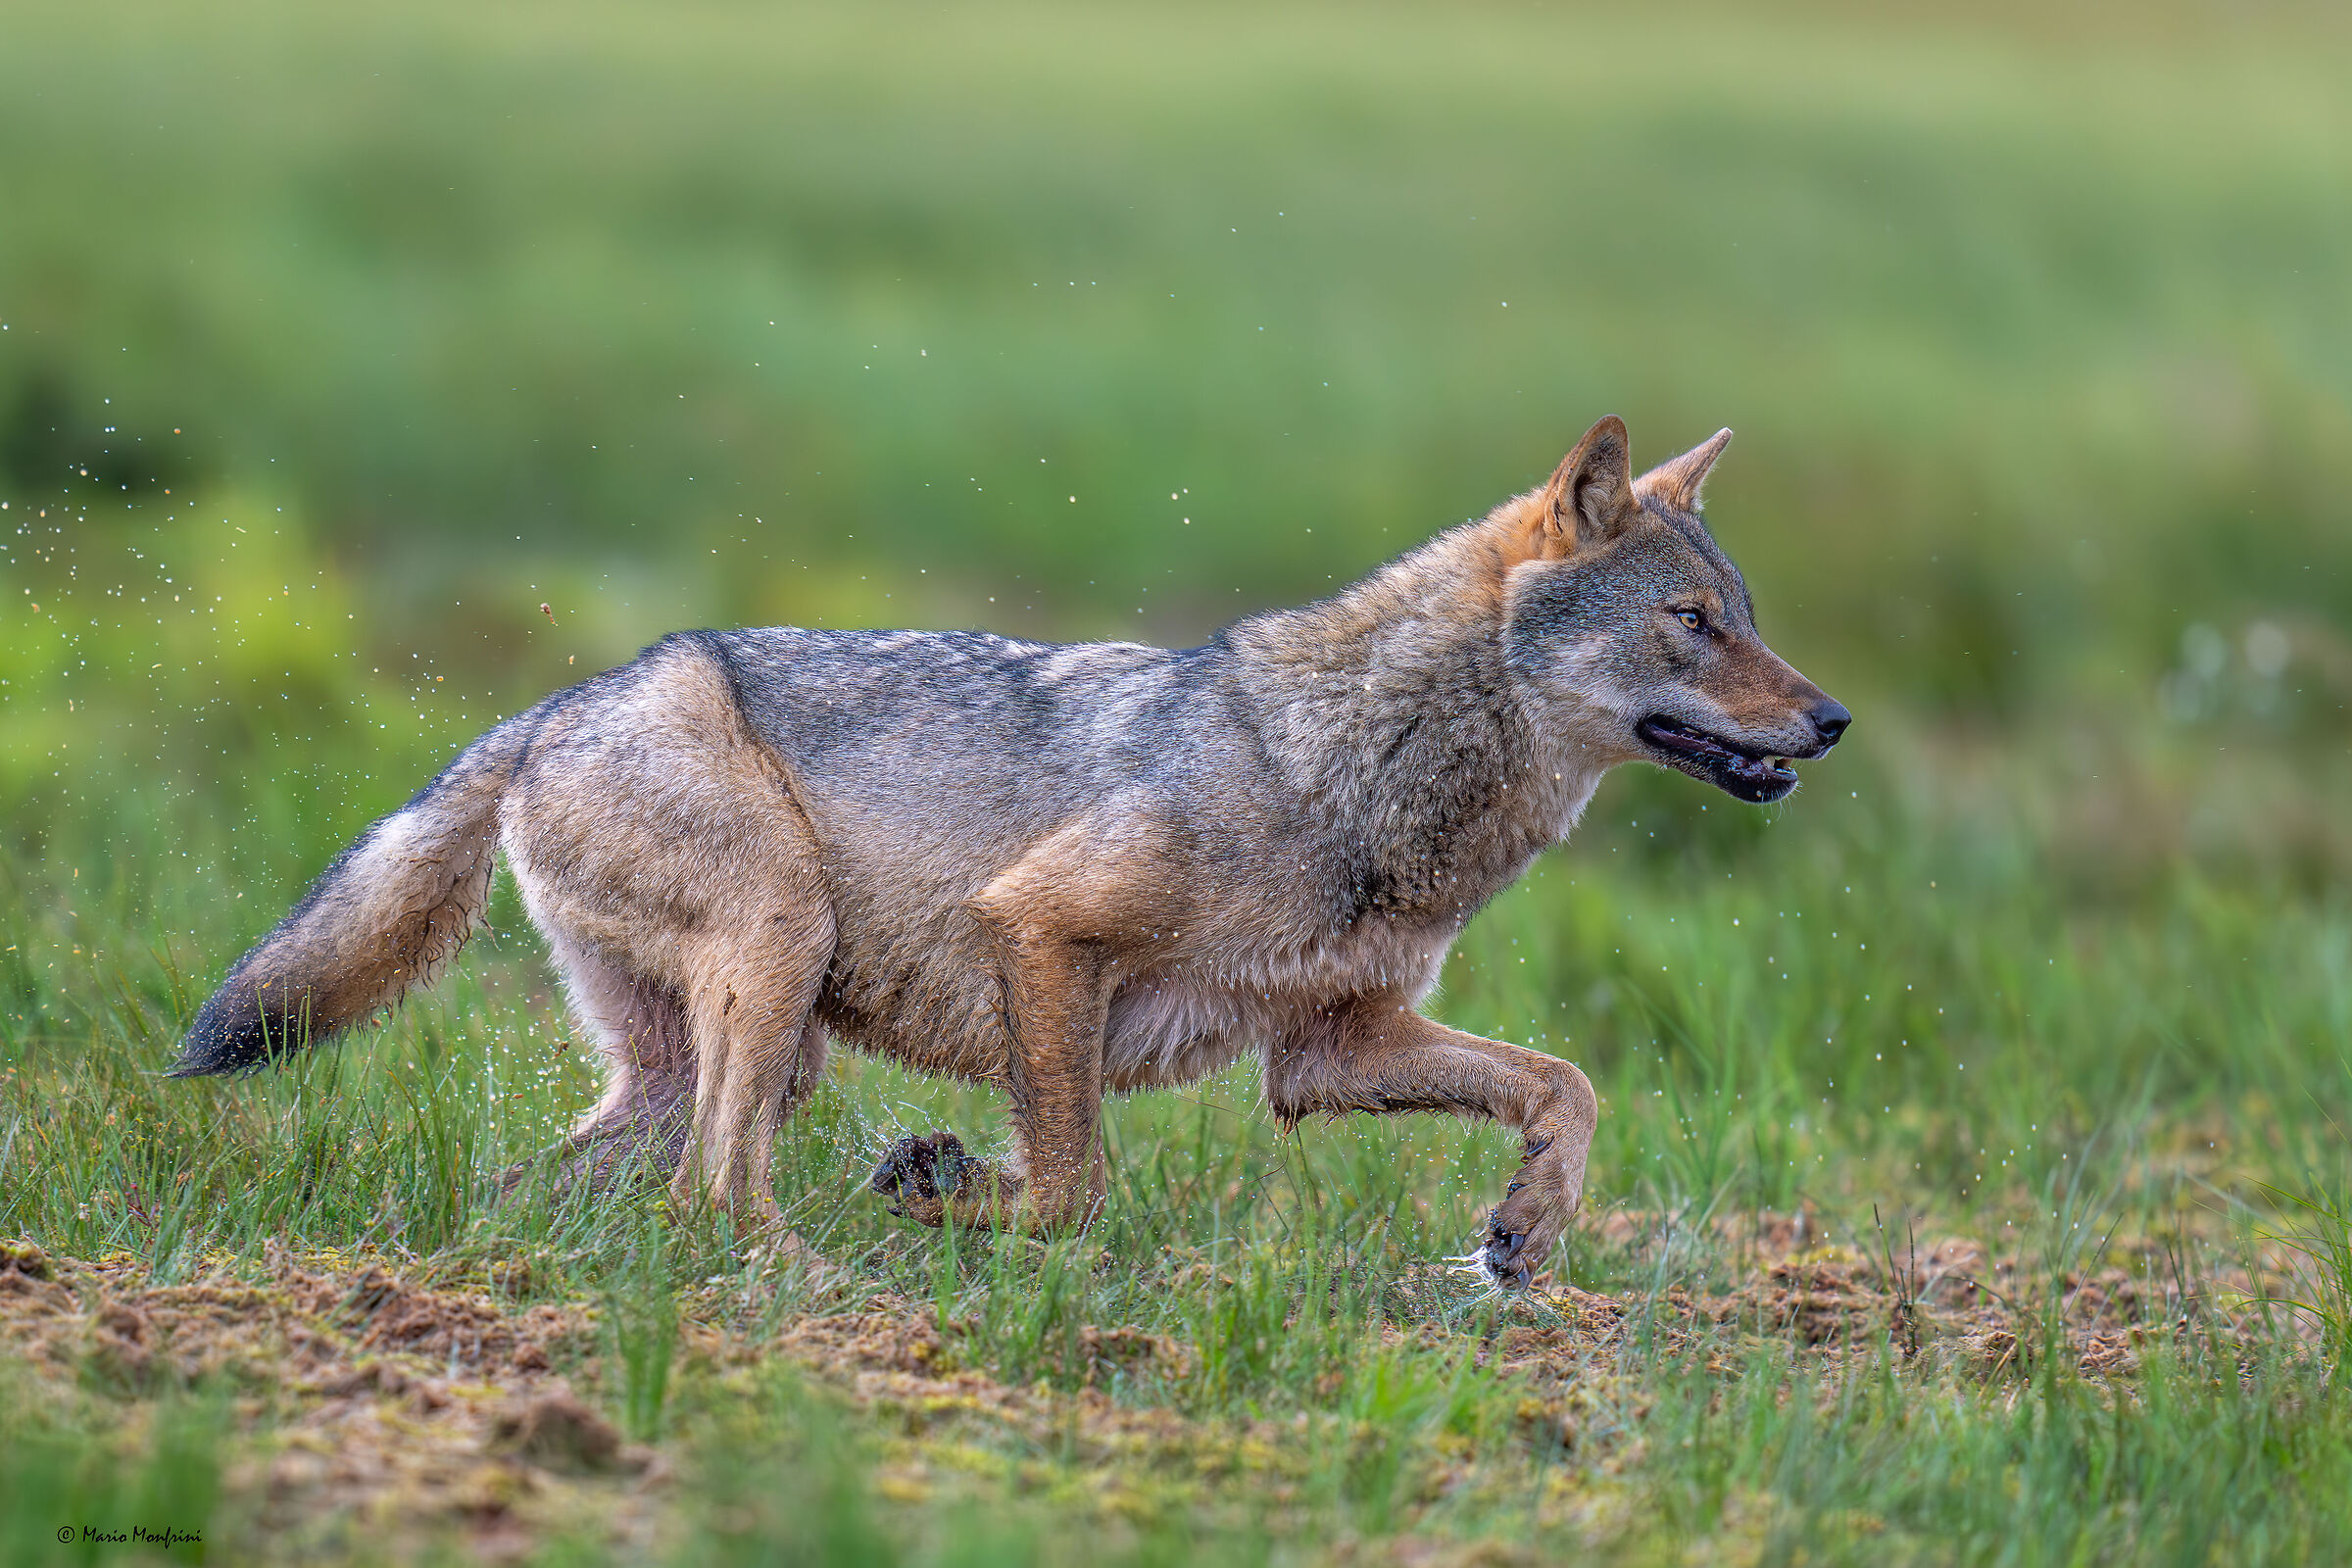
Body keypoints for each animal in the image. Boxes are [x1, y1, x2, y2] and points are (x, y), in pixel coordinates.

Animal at [169, 417, 1846, 1287]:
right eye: (1693, 622)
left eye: (1750, 614)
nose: (1829, 719)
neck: (1360, 773)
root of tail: (556, 705)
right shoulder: (1044, 933)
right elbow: (1071, 1188)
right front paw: (938, 1190)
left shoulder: (1328, 1049)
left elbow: (1569, 1085)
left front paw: (1524, 1231)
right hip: (781, 962)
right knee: (717, 1193)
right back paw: (824, 1287)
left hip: (724, 1053)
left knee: (579, 1188)